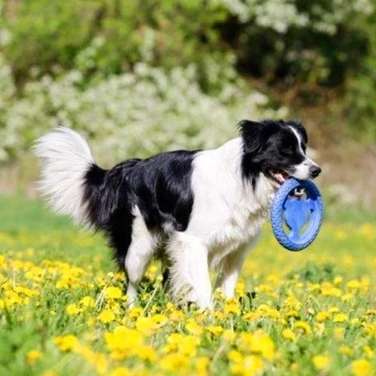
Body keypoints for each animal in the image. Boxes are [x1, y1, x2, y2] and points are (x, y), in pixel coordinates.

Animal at [34, 119, 320, 308]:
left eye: (303, 148)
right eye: (285, 150)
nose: (317, 170)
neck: (243, 177)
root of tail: (128, 169)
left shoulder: (235, 250)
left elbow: (227, 287)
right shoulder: (193, 242)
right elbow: (203, 285)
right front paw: (208, 319)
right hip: (139, 246)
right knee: (131, 282)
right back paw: (132, 313)